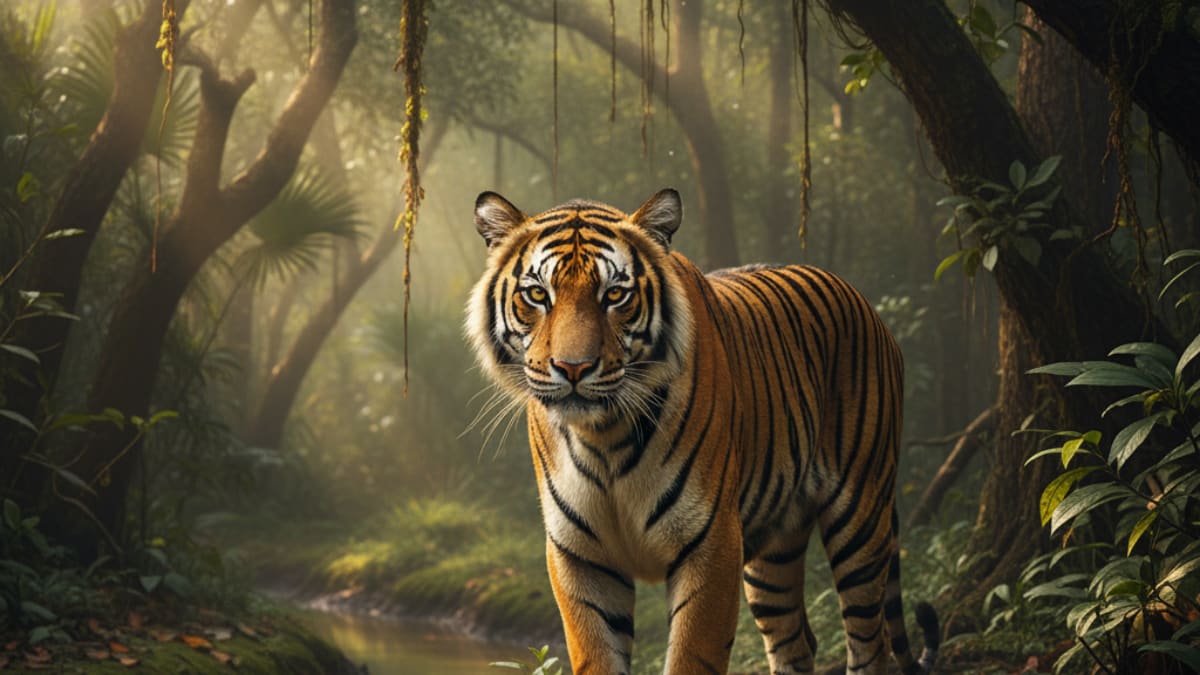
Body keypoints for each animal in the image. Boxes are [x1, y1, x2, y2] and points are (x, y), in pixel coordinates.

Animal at [466, 188, 939, 675]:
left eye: (614, 294)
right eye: (537, 294)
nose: (573, 368)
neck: (604, 436)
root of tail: (865, 301)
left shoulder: (711, 544)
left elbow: (692, 654)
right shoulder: (580, 556)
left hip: (861, 517)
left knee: (870, 642)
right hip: (774, 554)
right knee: (796, 640)